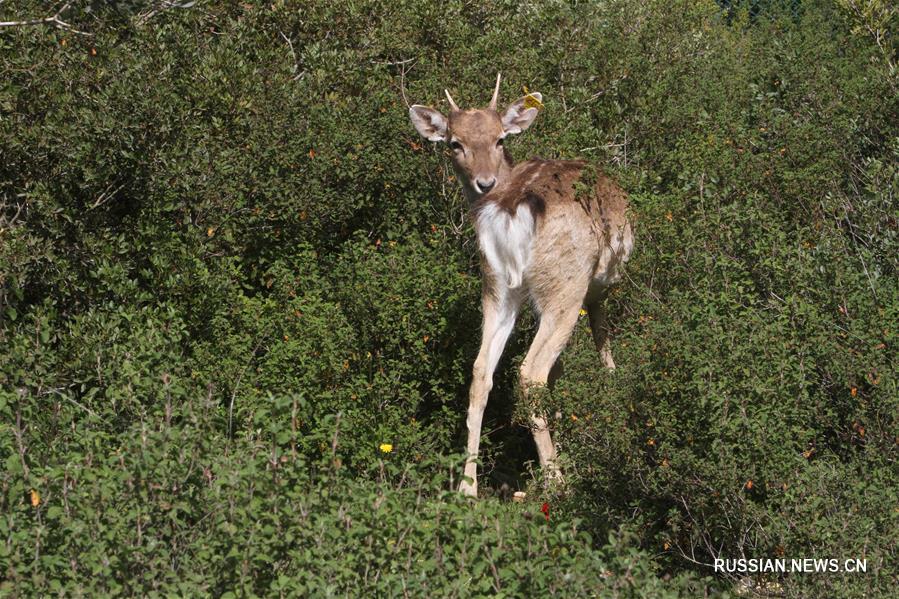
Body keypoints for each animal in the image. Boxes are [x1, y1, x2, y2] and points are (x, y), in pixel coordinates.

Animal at [410, 74, 632, 496]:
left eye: (499, 139)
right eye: (455, 143)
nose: (485, 182)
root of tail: (511, 208)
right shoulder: (599, 285)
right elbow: (601, 335)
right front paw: (613, 385)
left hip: (496, 286)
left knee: (481, 370)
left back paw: (468, 486)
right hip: (565, 283)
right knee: (531, 374)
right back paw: (556, 480)